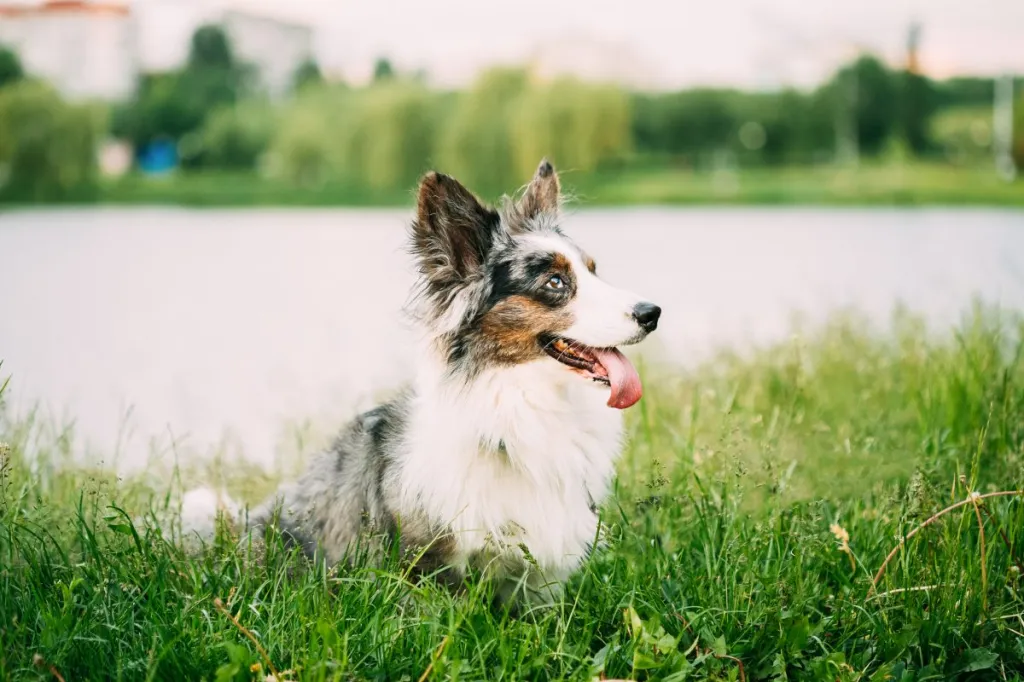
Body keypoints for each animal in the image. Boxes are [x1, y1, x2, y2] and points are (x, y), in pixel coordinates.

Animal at [186, 160, 663, 606]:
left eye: (594, 272)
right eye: (556, 282)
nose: (653, 313)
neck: (523, 405)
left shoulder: (538, 582)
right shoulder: (427, 565)